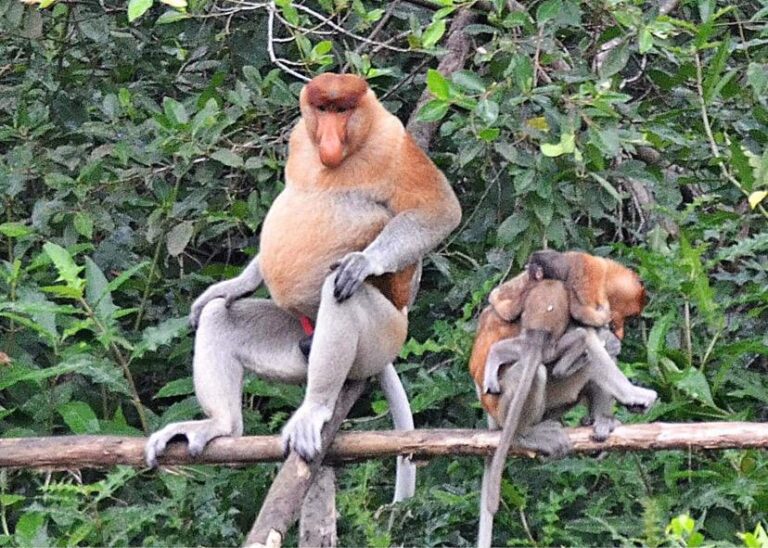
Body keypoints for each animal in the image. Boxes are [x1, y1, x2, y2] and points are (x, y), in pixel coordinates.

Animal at [144, 74, 460, 506]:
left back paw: (314, 409)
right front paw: (233, 284)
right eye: (322, 110)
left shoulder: (392, 143)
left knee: (340, 294)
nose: (328, 138)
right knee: (218, 318)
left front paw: (364, 263)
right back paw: (219, 425)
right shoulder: (298, 137)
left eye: (343, 110)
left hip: (384, 337)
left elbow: (441, 211)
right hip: (295, 339)